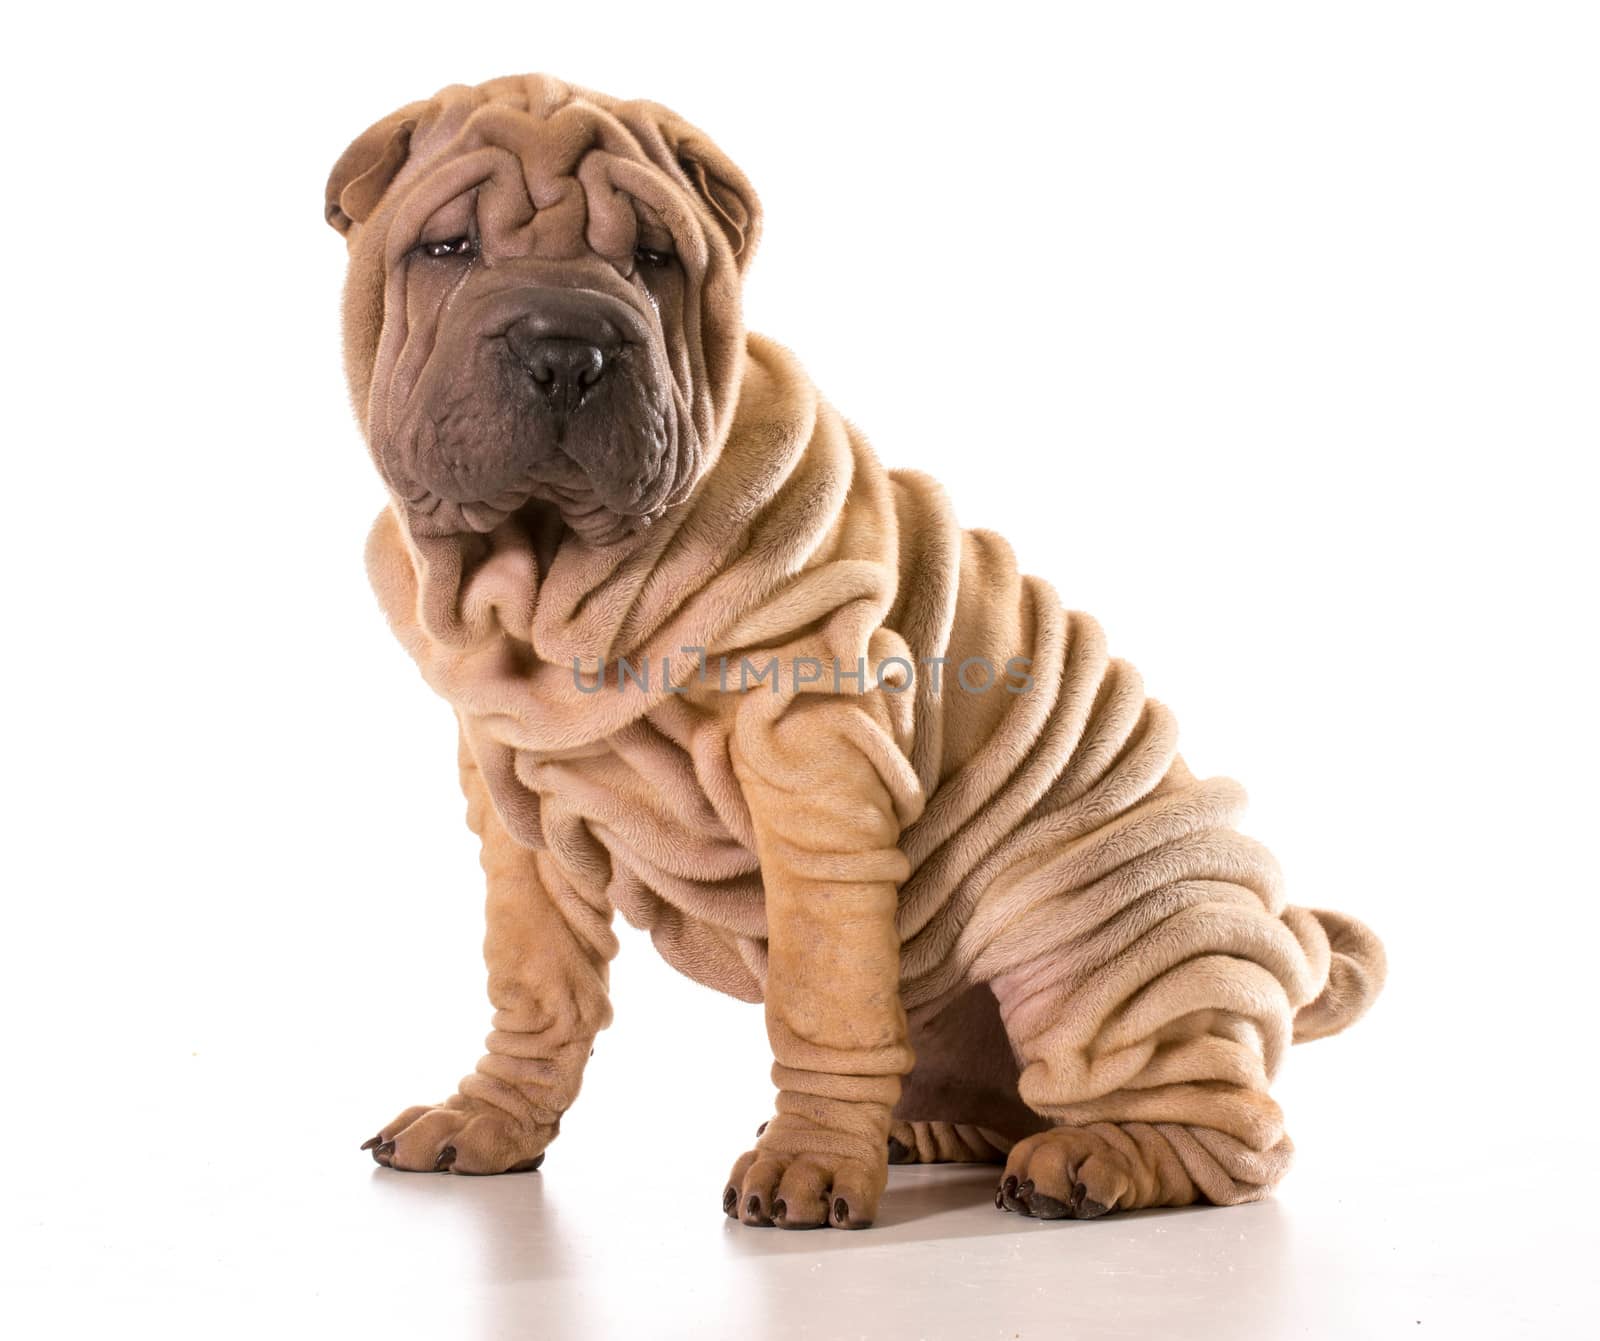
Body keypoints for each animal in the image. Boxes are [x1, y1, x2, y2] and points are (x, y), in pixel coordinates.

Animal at [324, 70, 1388, 1228]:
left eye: (653, 258)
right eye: (448, 248)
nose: (567, 350)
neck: (549, 582)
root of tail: (1288, 933)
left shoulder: (812, 762)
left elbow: (821, 993)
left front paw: (811, 1161)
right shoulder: (511, 797)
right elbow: (534, 978)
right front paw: (489, 1120)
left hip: (1097, 944)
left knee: (1227, 1130)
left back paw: (1092, 1159)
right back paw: (931, 1129)